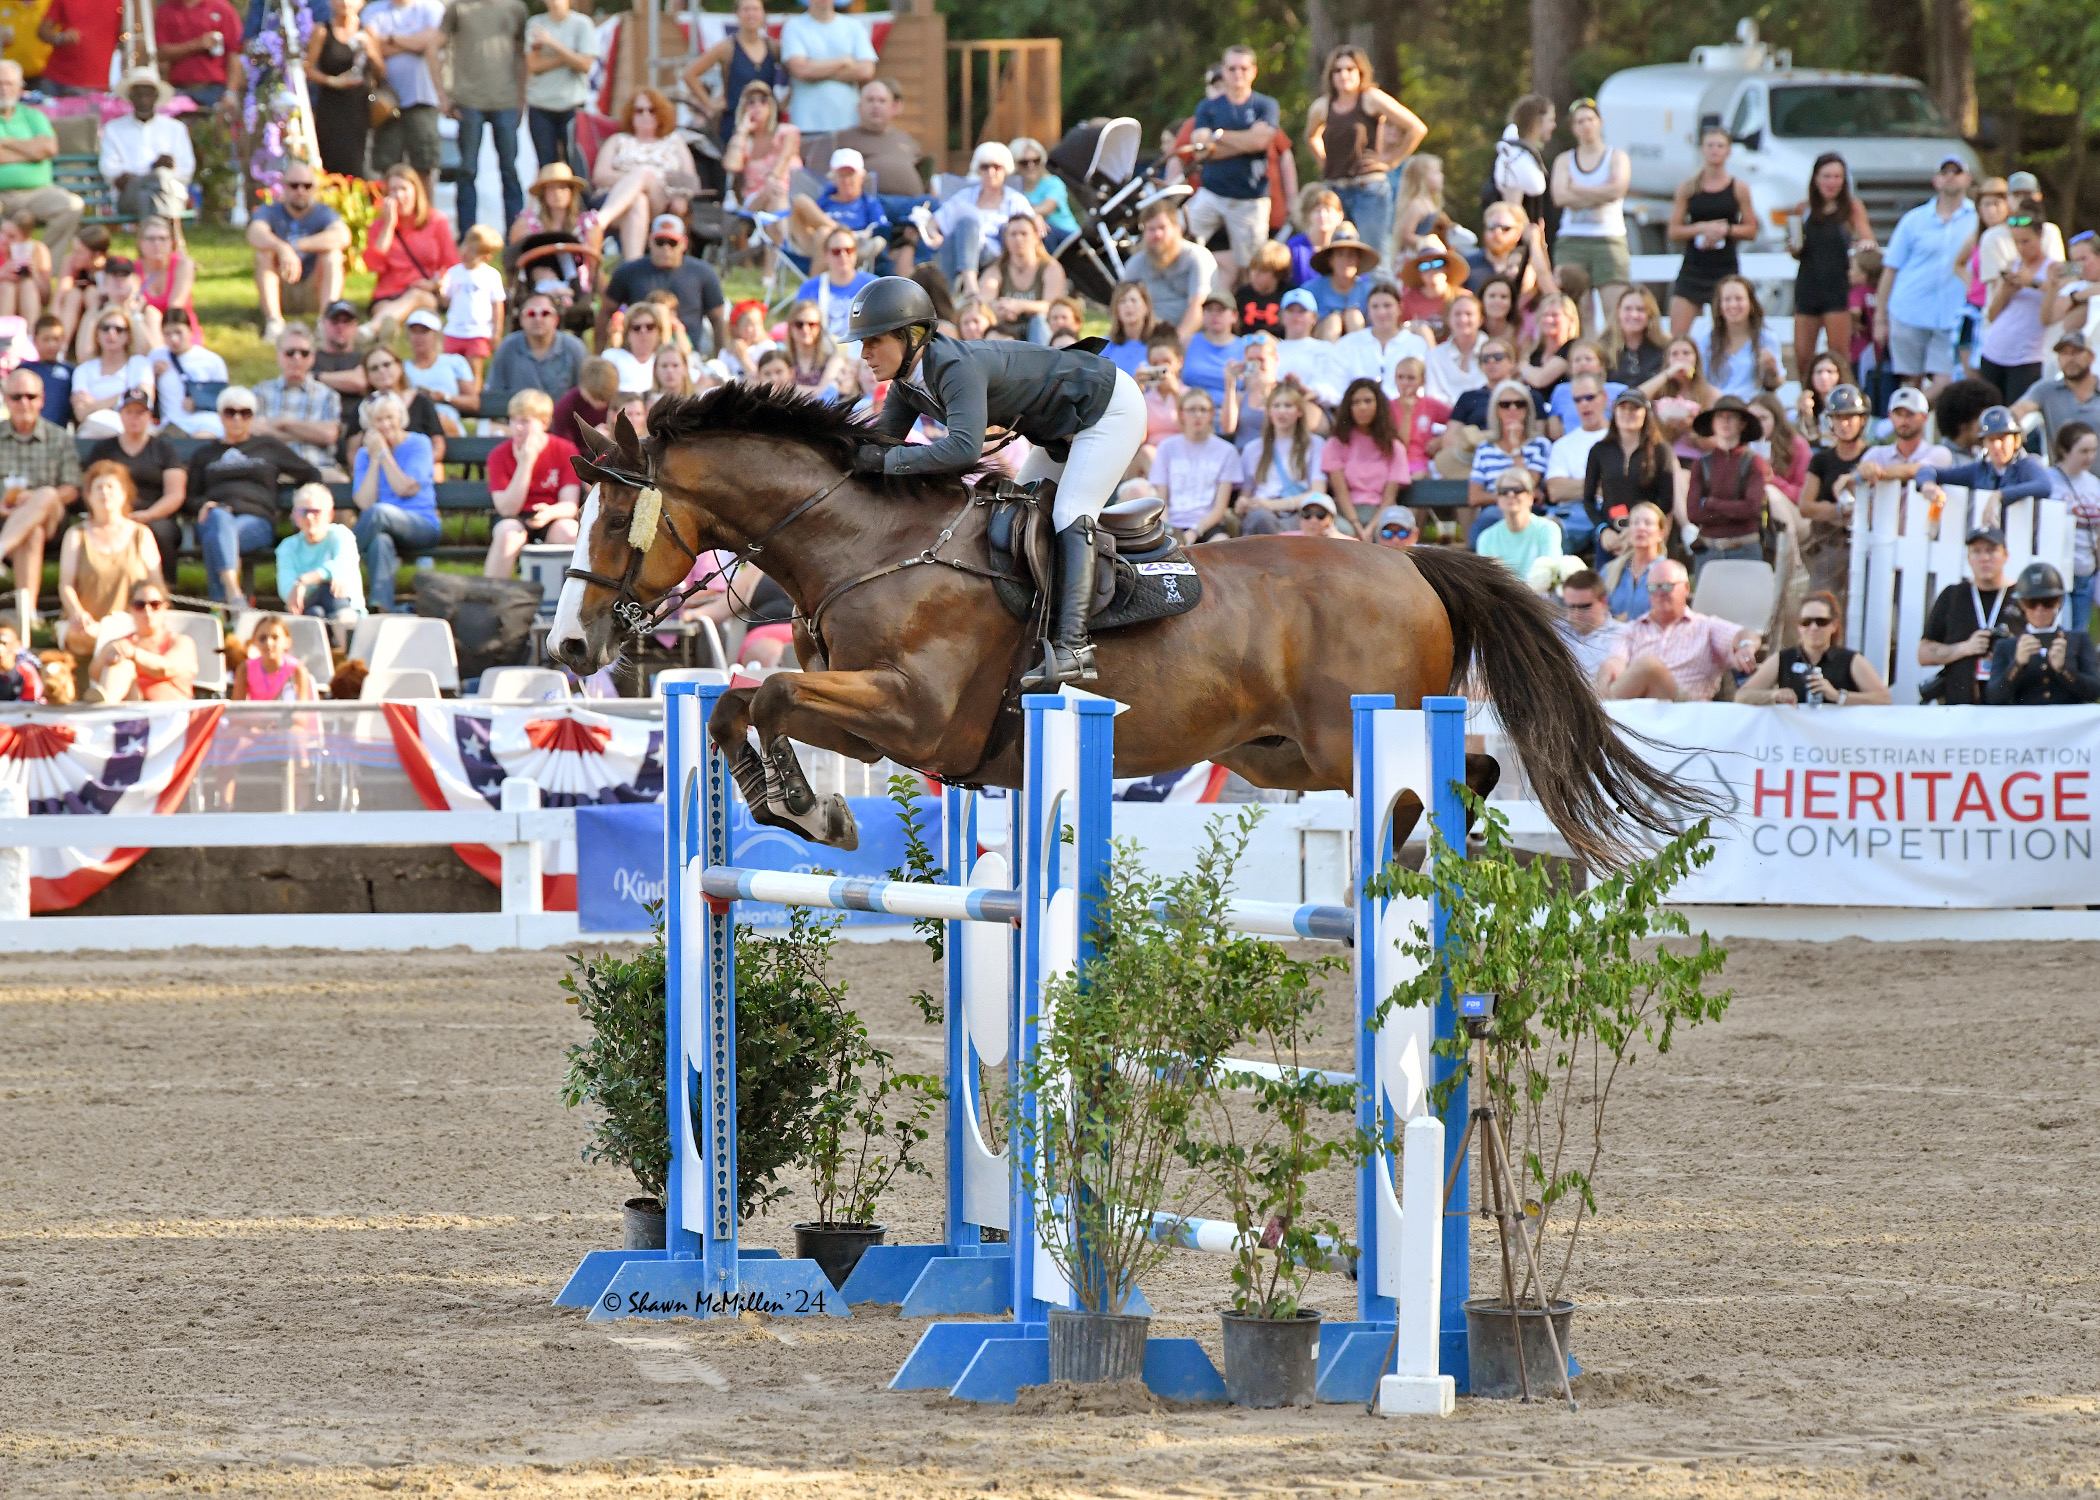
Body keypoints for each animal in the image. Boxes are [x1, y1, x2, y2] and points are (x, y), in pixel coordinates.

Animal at [548, 386, 1705, 869]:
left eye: (609, 516)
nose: (567, 646)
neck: (867, 546)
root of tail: (1409, 555)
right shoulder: (879, 725)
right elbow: (740, 707)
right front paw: (798, 808)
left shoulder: (913, 717)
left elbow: (774, 693)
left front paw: (808, 813)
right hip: (1279, 754)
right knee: (1464, 775)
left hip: (1352, 734)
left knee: (1455, 775)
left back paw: (1397, 872)